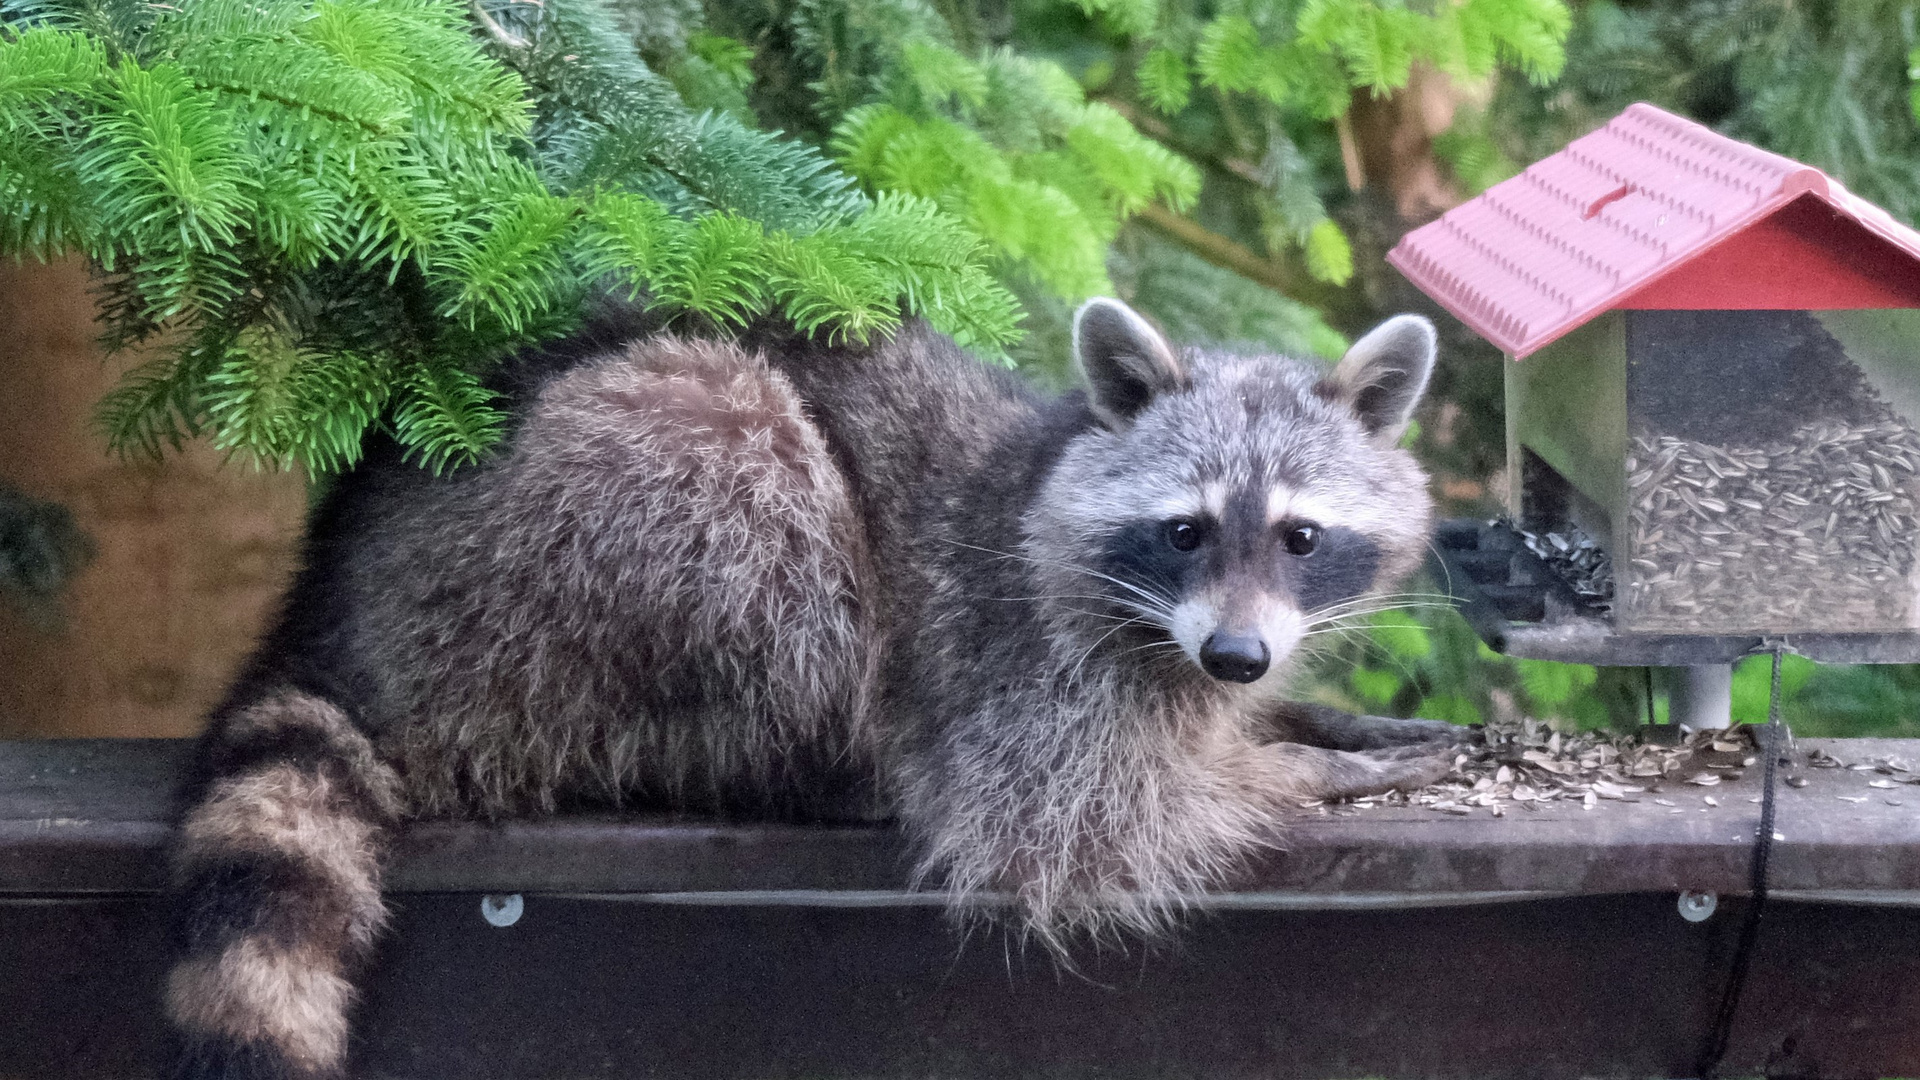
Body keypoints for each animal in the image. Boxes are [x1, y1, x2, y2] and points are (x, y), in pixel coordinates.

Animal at [165, 295, 1451, 1076]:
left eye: (1299, 538)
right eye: (1184, 531)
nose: (1235, 657)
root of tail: (341, 604)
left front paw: (1308, 716)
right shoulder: (1026, 672)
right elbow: (1095, 824)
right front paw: (1306, 768)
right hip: (563, 557)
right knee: (756, 486)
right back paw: (805, 766)